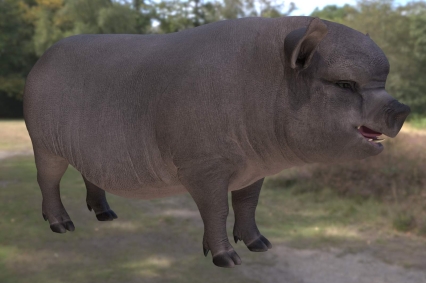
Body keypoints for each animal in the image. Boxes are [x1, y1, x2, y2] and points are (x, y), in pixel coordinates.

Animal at [22, 16, 410, 268]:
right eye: (345, 84)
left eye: (382, 83)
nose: (403, 108)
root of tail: (40, 62)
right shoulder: (201, 165)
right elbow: (216, 209)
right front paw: (228, 260)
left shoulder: (254, 170)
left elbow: (247, 205)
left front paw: (262, 246)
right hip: (42, 141)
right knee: (47, 180)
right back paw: (62, 226)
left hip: (86, 151)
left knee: (90, 176)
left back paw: (107, 216)